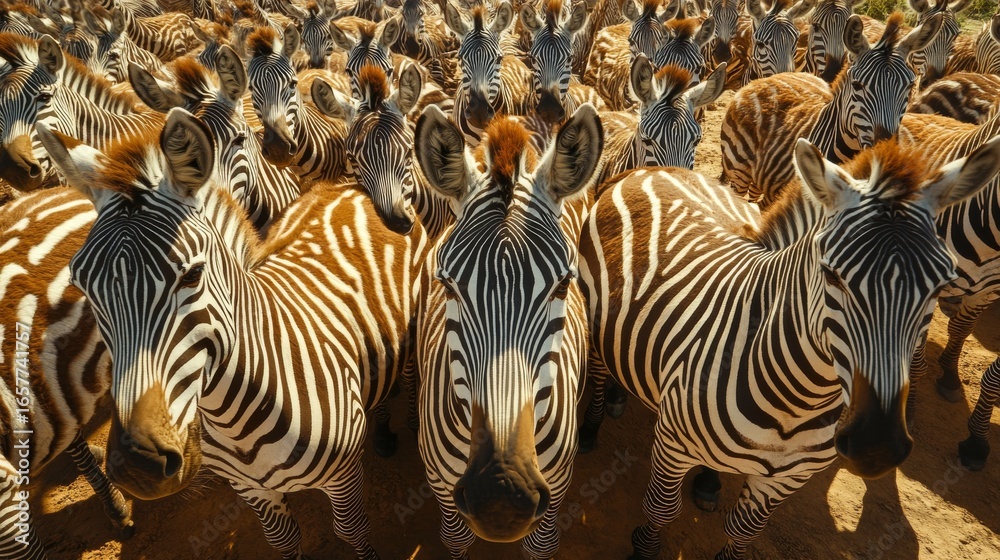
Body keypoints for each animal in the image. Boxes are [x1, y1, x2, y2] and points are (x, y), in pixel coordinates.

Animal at [36, 99, 430, 559]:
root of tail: (352, 187)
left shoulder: (343, 475)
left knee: (407, 368)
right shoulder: (249, 488)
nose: (137, 464)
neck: (234, 417)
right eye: (81, 285)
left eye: (192, 275)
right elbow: (283, 540)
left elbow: (352, 530)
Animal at [412, 104, 602, 560]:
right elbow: (455, 538)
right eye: (449, 286)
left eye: (562, 285)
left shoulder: (555, 494)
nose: (501, 495)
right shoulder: (442, 489)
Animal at [577, 135, 1000, 560]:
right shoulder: (672, 444)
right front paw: (644, 547)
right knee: (596, 373)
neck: (797, 401)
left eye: (940, 284)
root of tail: (654, 169)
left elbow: (744, 530)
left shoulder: (790, 477)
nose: (876, 445)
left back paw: (710, 482)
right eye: (831, 274)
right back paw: (590, 428)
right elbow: (661, 510)